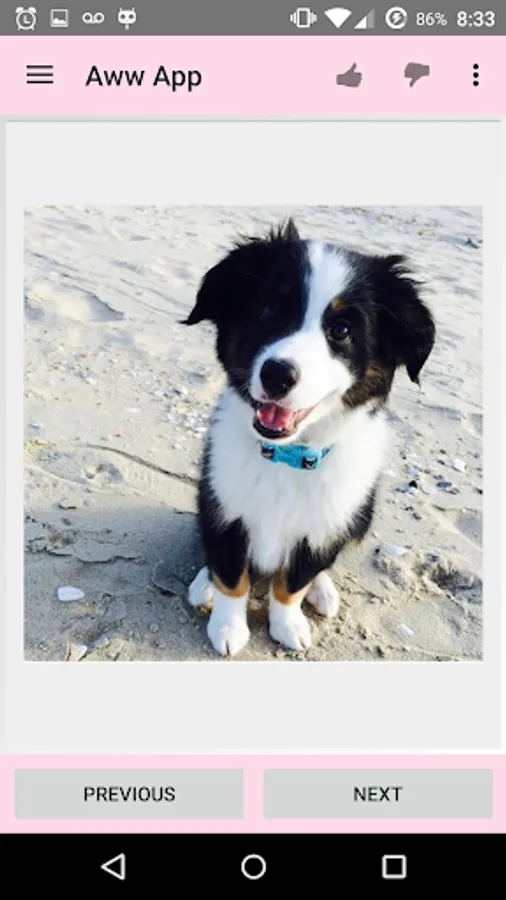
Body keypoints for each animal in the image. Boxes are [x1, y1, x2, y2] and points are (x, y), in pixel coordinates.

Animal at [182, 219, 435, 657]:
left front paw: (288, 624)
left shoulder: (325, 524)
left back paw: (324, 591)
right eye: (269, 310)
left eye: (342, 331)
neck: (287, 455)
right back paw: (203, 585)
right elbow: (231, 574)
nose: (277, 375)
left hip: (360, 517)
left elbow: (293, 582)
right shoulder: (223, 506)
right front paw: (228, 626)